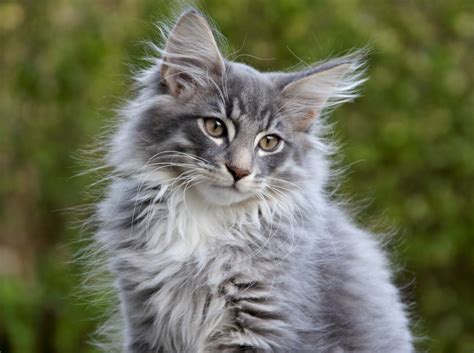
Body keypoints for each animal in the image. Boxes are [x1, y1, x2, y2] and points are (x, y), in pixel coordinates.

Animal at [91, 8, 412, 352]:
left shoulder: (264, 322)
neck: (206, 221)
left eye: (269, 142)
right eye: (215, 127)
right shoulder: (145, 319)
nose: (239, 171)